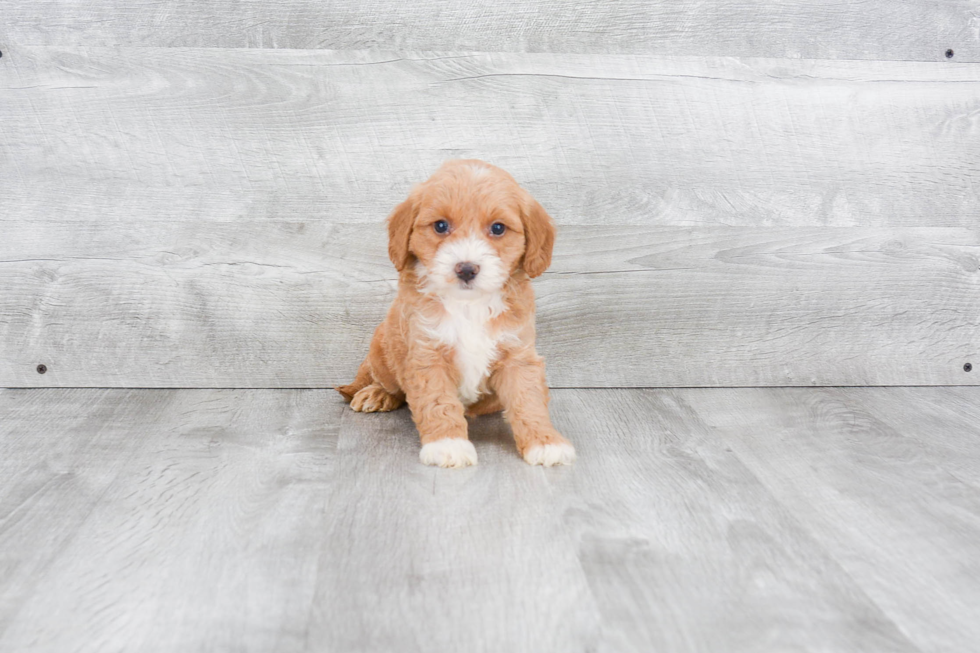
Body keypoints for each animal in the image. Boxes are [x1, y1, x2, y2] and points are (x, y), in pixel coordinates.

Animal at [336, 160, 576, 466]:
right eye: (441, 226)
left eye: (498, 228)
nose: (466, 269)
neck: (469, 304)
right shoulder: (427, 355)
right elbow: (438, 402)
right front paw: (448, 445)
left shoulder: (518, 355)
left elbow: (528, 400)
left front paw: (545, 442)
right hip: (381, 349)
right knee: (384, 381)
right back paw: (377, 393)